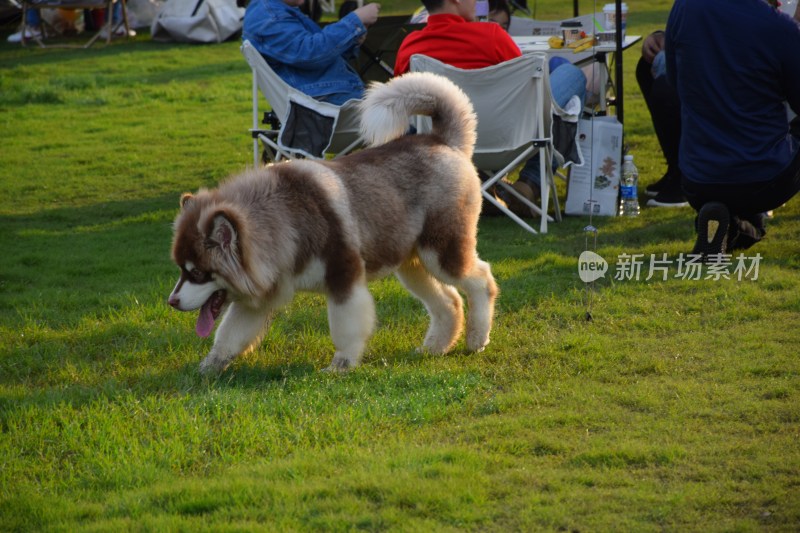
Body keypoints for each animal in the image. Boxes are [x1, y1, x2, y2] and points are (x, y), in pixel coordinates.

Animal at [167, 71, 494, 374]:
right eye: (181, 269)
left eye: (198, 273)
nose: (171, 302)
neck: (284, 218)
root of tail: (442, 141)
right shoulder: (257, 295)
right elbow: (229, 335)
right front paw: (207, 368)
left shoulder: (344, 277)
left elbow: (345, 328)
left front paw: (341, 365)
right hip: (411, 264)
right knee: (450, 301)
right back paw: (434, 348)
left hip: (441, 252)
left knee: (482, 280)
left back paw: (477, 339)